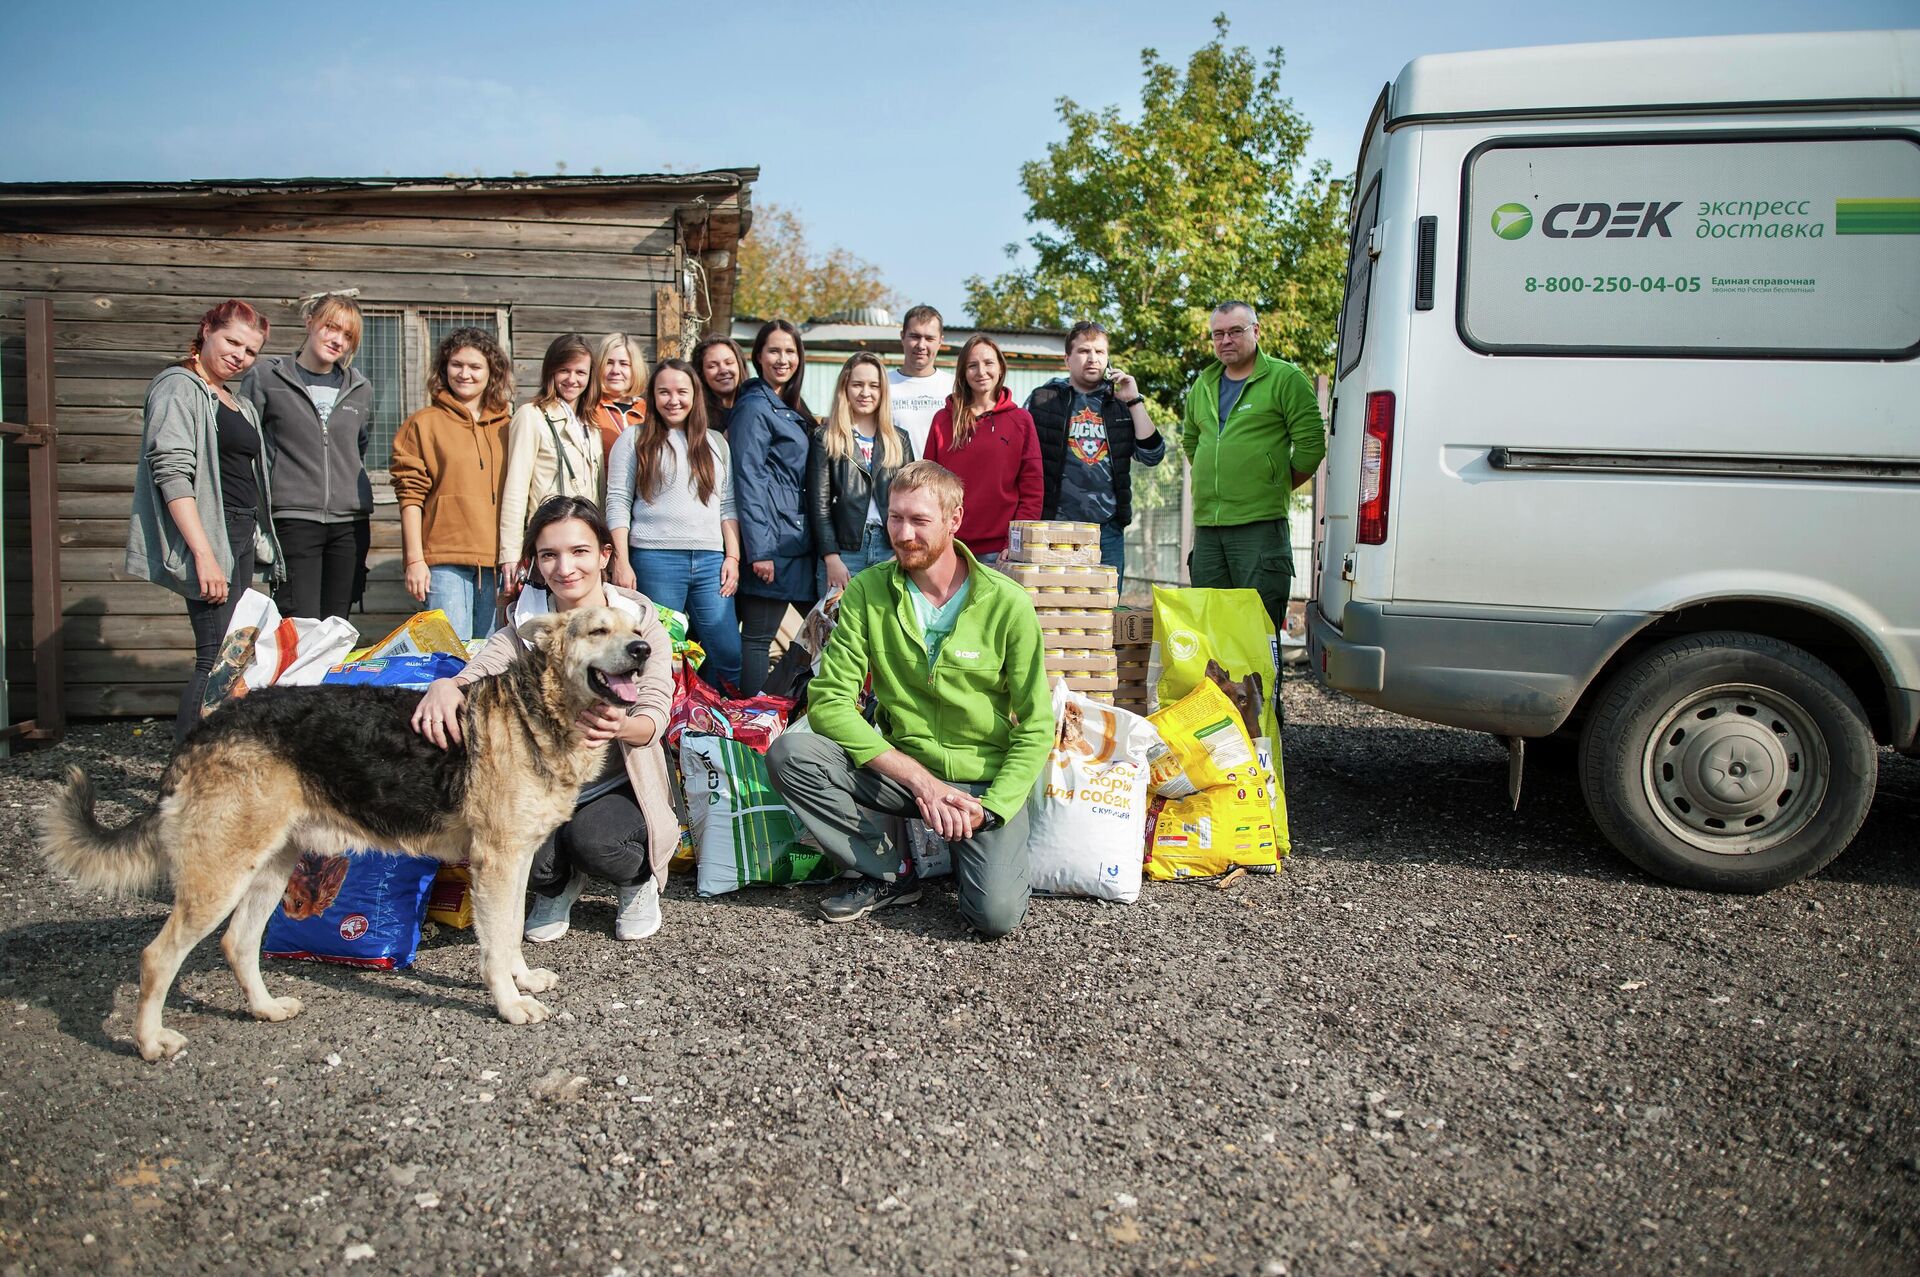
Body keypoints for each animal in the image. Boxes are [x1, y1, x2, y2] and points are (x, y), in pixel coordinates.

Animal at [35, 606, 652, 1052]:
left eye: (636, 629)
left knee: (238, 943)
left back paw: (264, 1008)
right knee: (157, 958)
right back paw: (149, 1042)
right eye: (599, 630)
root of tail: (206, 728)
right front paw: (509, 1003)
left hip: (271, 865)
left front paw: (522, 980)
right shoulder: (497, 863)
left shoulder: (516, 860)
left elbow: (512, 935)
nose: (645, 651)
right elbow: (497, 944)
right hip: (221, 874)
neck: (537, 710)